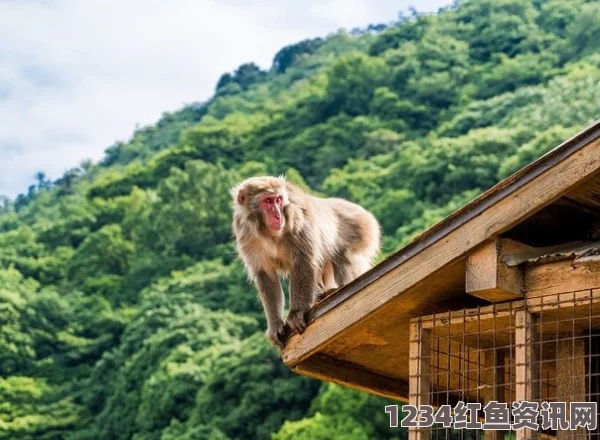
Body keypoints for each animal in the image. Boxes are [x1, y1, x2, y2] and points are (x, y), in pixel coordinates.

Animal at [230, 175, 380, 348]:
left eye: (278, 200)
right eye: (267, 201)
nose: (278, 215)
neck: (268, 233)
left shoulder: (297, 220)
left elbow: (304, 262)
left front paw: (296, 313)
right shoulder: (246, 235)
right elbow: (266, 276)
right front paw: (275, 324)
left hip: (362, 230)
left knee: (345, 259)